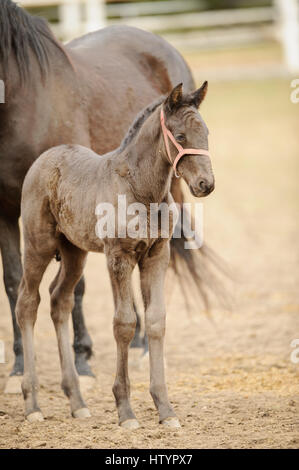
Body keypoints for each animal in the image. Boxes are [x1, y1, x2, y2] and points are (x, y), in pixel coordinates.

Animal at [16, 82, 214, 428]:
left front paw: (166, 409)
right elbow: (125, 322)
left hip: (74, 252)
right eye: (181, 136)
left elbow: (156, 320)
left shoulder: (156, 255)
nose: (206, 184)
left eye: (206, 133)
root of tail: (45, 158)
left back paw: (77, 402)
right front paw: (125, 411)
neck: (142, 189)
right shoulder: (118, 257)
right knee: (27, 303)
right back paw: (33, 405)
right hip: (38, 244)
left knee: (59, 300)